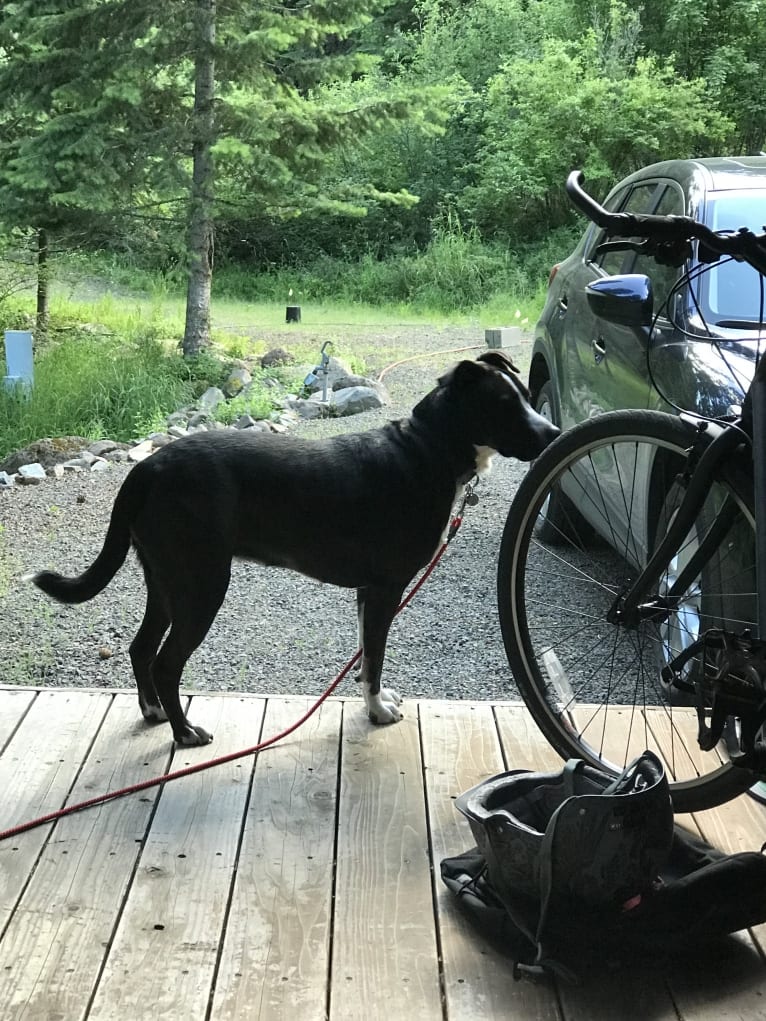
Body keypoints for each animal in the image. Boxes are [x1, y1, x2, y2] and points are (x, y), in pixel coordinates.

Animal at [28, 351, 559, 743]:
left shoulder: (367, 593)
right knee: (165, 662)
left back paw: (155, 712)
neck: (427, 449)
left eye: (526, 397)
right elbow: (375, 657)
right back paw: (185, 732)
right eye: (503, 404)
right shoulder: (385, 588)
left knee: (141, 650)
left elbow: (365, 658)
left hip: (164, 580)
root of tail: (147, 468)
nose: (554, 434)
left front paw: (374, 701)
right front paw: (377, 712)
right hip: (201, 584)